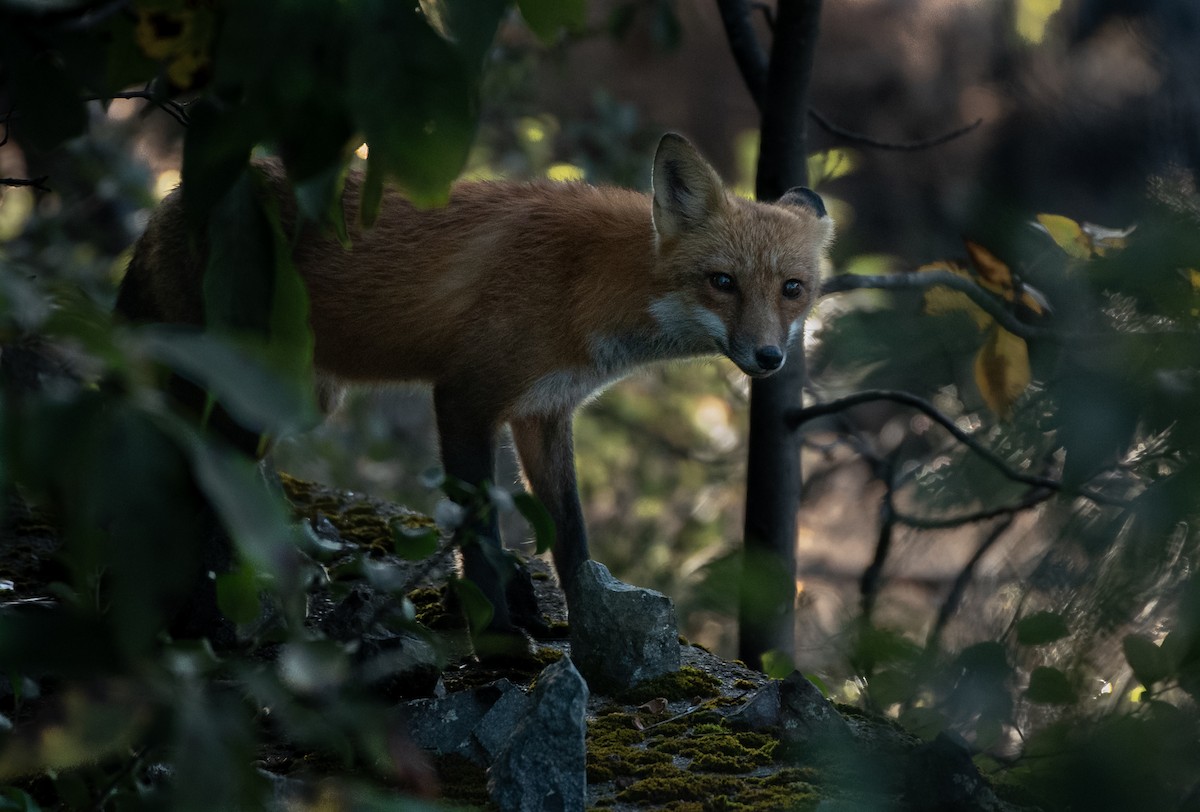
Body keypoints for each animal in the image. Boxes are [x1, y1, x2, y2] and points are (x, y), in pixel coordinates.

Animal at [118, 133, 834, 642]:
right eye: (722, 282)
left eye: (792, 289)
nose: (770, 357)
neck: (588, 285)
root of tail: (166, 204)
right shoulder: (466, 395)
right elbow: (479, 528)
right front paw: (497, 629)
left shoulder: (544, 413)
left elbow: (572, 536)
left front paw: (588, 624)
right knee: (200, 474)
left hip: (296, 400)